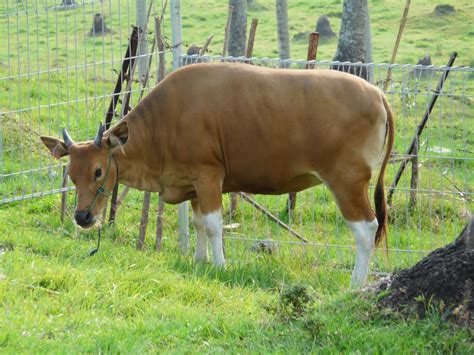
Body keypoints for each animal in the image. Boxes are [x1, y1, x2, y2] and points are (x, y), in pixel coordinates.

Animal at [42, 62, 394, 290]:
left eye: (99, 171)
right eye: (71, 175)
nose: (83, 216)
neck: (164, 122)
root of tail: (376, 93)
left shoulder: (208, 176)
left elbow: (213, 224)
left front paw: (220, 265)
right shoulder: (193, 184)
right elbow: (198, 223)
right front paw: (200, 261)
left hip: (347, 180)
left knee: (367, 228)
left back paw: (355, 285)